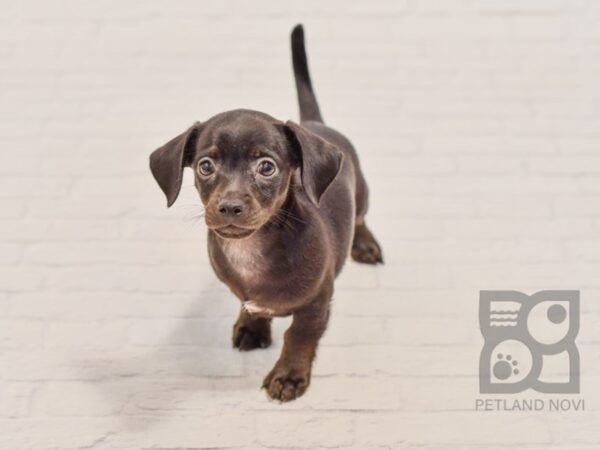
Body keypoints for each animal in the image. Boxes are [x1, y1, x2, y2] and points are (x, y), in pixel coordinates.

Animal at [150, 23, 384, 400]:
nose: (229, 207)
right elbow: (249, 303)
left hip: (361, 193)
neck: (251, 250)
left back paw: (363, 244)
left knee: (360, 217)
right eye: (205, 166)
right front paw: (253, 325)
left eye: (267, 167)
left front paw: (288, 376)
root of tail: (314, 123)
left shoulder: (317, 303)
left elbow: (298, 337)